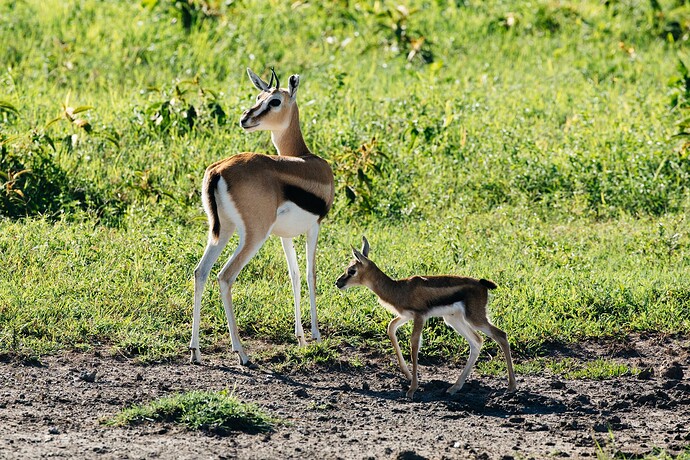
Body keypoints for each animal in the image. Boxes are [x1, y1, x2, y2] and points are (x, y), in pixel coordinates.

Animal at [189, 68, 334, 365]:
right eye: (259, 97)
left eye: (273, 100)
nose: (245, 118)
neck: (305, 159)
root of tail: (218, 170)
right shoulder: (314, 227)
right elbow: (311, 274)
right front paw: (316, 336)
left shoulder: (284, 236)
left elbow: (294, 276)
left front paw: (301, 338)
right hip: (253, 236)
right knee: (224, 276)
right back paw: (241, 353)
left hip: (222, 231)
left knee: (201, 272)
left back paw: (195, 351)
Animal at [335, 237, 516, 399]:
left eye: (352, 270)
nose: (338, 283)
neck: (400, 289)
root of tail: (482, 284)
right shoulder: (405, 316)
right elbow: (391, 328)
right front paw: (408, 375)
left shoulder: (420, 316)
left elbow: (414, 343)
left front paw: (412, 389)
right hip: (453, 319)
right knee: (477, 341)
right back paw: (454, 388)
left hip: (475, 318)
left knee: (501, 335)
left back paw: (511, 387)